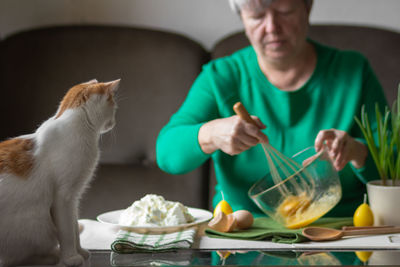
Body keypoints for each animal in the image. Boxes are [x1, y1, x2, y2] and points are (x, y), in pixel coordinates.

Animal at [0, 78, 119, 266]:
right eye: (114, 107)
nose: (114, 122)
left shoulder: (73, 198)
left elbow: (74, 228)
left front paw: (80, 252)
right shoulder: (63, 197)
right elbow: (67, 232)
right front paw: (71, 258)